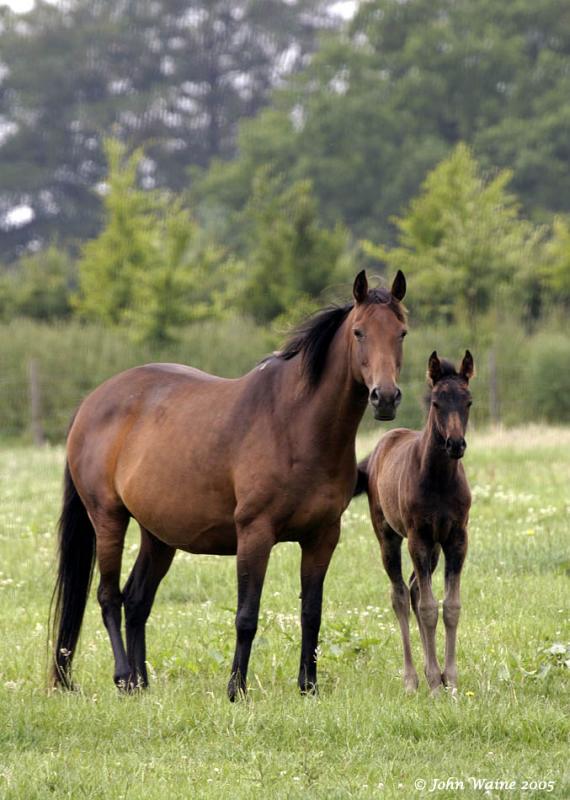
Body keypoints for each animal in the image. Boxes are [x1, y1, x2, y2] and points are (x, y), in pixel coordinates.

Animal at [358, 350, 472, 692]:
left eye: (468, 401)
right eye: (435, 402)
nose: (455, 444)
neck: (439, 481)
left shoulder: (456, 538)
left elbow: (450, 606)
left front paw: (450, 679)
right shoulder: (418, 537)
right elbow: (428, 608)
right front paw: (435, 683)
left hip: (433, 546)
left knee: (413, 589)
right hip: (390, 536)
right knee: (399, 595)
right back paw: (411, 678)